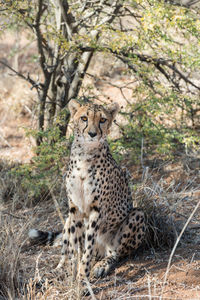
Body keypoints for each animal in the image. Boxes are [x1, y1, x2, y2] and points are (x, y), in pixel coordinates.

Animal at [28, 100, 146, 282]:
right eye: (84, 118)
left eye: (102, 120)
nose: (92, 133)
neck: (85, 155)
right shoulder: (74, 207)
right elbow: (75, 247)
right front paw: (72, 273)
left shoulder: (96, 209)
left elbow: (88, 246)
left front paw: (82, 276)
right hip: (67, 219)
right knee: (65, 250)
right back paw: (55, 272)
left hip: (137, 215)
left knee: (115, 253)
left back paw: (101, 265)